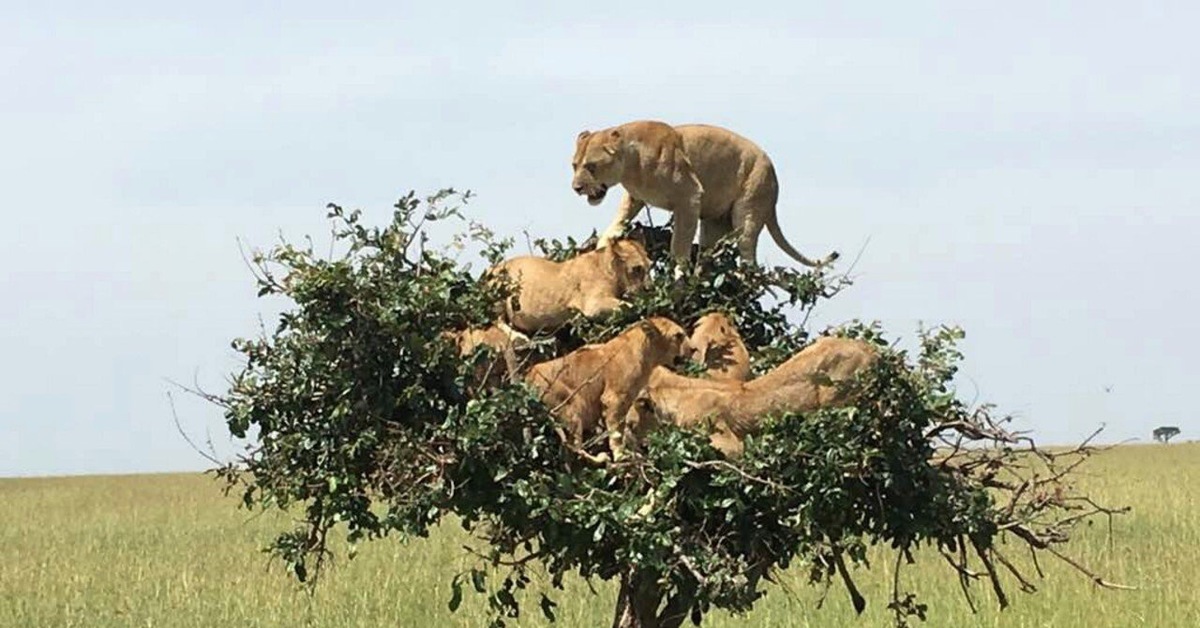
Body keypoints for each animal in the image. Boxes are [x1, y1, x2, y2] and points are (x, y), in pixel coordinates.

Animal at [487, 237, 652, 333]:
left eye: (649, 266)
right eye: (637, 269)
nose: (649, 288)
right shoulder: (594, 305)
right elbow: (630, 306)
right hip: (499, 292)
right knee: (496, 321)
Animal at [525, 317, 696, 463]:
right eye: (678, 335)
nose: (694, 349)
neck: (648, 357)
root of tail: (528, 377)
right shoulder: (614, 398)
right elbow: (616, 431)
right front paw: (620, 455)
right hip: (572, 408)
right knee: (575, 447)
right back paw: (600, 458)